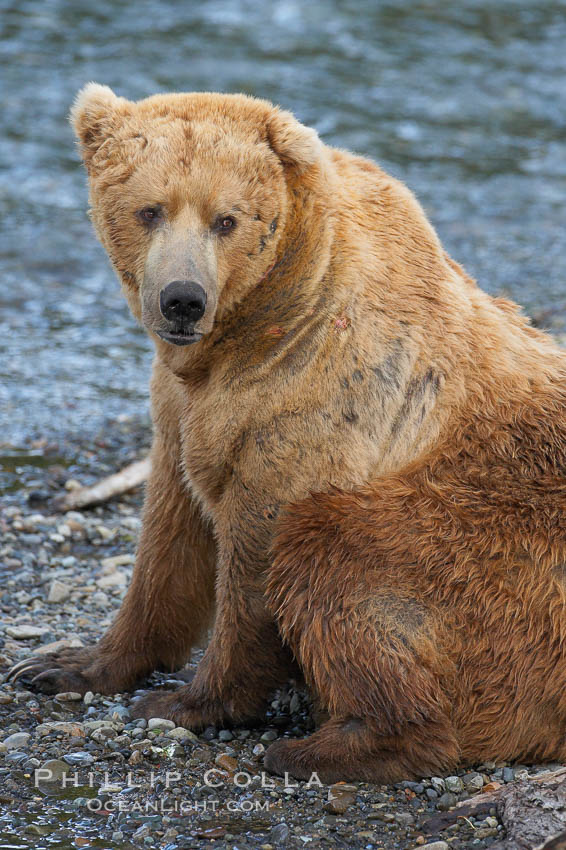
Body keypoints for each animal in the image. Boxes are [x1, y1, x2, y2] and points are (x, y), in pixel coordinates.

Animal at [11, 84, 566, 780]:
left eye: (227, 219)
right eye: (149, 210)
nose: (182, 299)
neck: (248, 331)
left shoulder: (314, 401)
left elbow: (256, 556)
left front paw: (190, 700)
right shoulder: (181, 412)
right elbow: (169, 539)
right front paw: (68, 663)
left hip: (487, 551)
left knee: (334, 552)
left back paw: (326, 745)